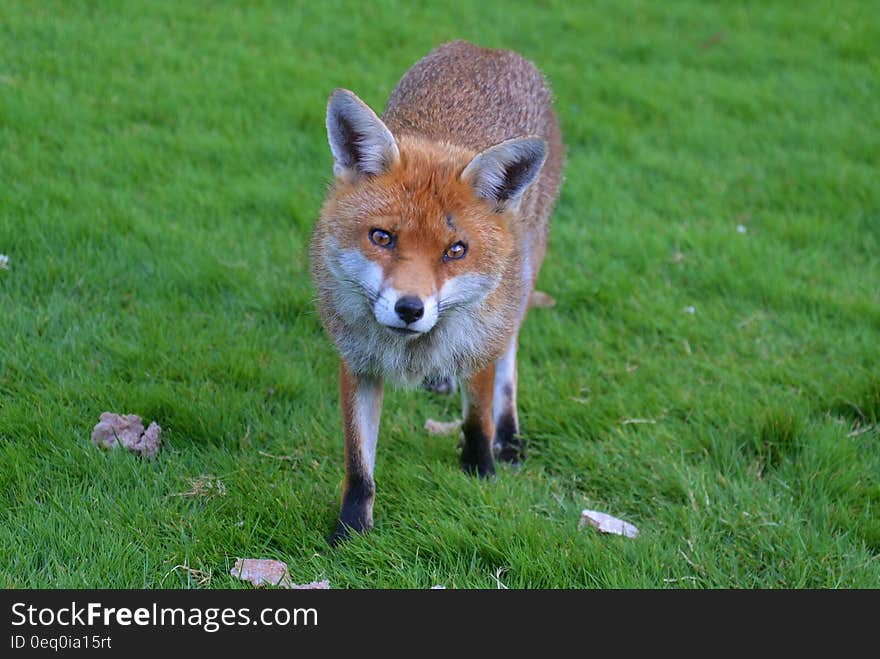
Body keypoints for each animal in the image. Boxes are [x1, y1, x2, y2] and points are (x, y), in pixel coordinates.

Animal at [310, 42, 564, 548]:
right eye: (382, 237)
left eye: (455, 251)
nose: (410, 309)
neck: (411, 349)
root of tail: (487, 48)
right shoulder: (357, 363)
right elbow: (358, 465)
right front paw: (350, 531)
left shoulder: (481, 341)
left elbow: (477, 418)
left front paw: (480, 471)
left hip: (522, 281)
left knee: (509, 358)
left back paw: (509, 438)